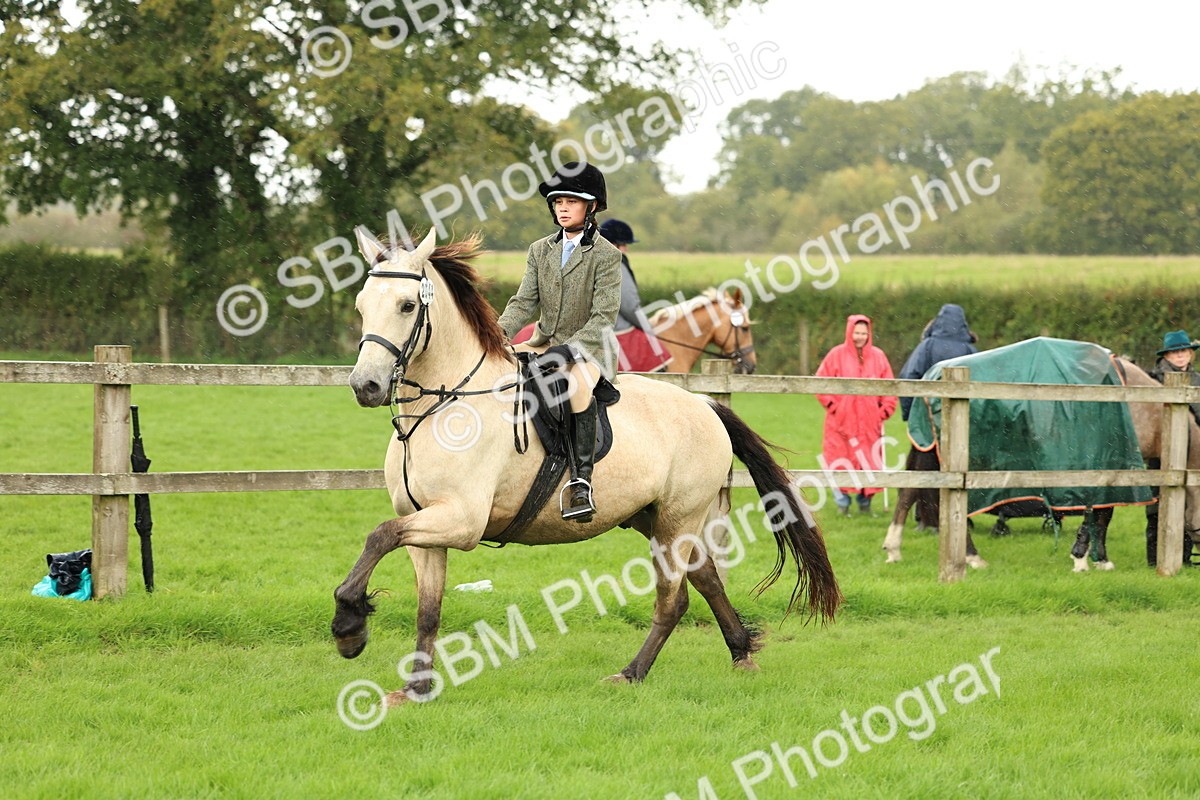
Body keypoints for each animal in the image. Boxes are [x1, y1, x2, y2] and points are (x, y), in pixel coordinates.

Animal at [331, 228, 841, 705]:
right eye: (361, 305)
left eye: (405, 306)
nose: (365, 386)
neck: (444, 404)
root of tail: (704, 404)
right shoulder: (424, 524)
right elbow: (427, 608)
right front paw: (415, 688)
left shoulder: (461, 521)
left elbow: (379, 535)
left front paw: (349, 625)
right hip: (657, 519)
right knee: (707, 579)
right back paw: (740, 653)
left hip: (677, 521)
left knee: (673, 600)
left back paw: (632, 673)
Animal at [881, 354, 1199, 571]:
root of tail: (934, 375)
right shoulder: (1109, 462)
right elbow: (1100, 511)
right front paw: (1083, 557)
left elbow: (1101, 513)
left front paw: (1097, 558)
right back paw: (972, 557)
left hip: (929, 450)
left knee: (910, 493)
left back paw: (895, 548)